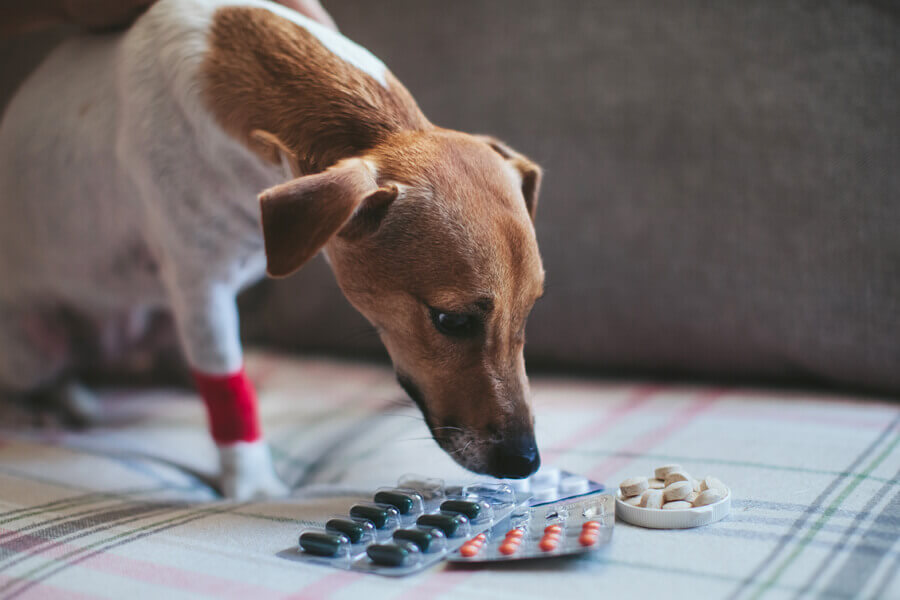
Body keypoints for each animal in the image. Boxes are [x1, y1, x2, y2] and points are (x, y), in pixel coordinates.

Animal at [0, 0, 544, 496]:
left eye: (530, 310)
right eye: (450, 320)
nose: (527, 463)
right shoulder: (202, 290)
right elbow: (227, 389)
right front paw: (254, 487)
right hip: (35, 343)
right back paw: (46, 406)